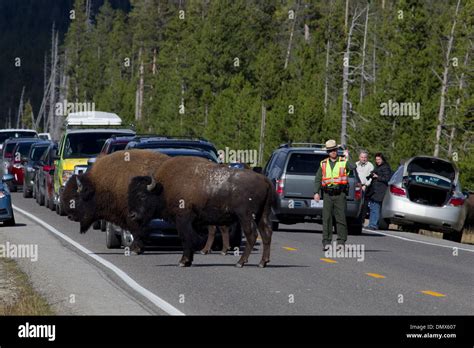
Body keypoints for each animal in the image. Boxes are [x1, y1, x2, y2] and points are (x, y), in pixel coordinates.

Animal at [128, 156, 276, 268]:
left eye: (142, 195)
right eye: (130, 193)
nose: (132, 215)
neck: (163, 188)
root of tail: (265, 179)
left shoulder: (183, 220)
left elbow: (186, 238)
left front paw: (183, 261)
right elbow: (191, 238)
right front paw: (189, 261)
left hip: (245, 216)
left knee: (252, 235)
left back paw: (240, 262)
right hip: (262, 215)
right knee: (266, 234)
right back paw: (263, 262)